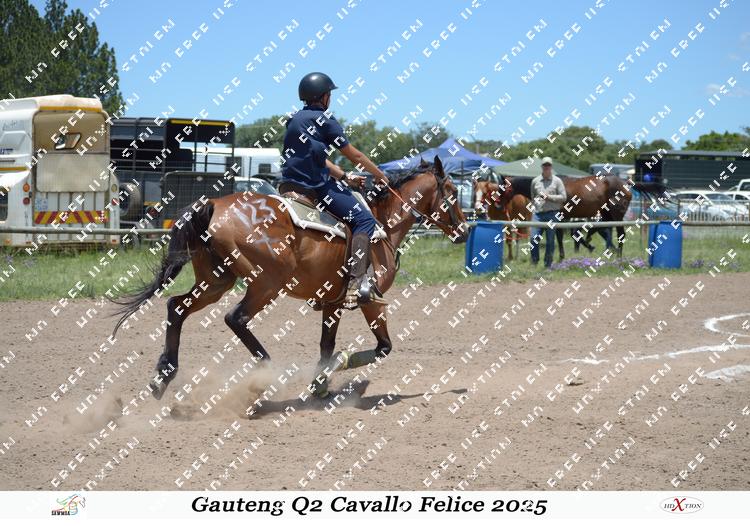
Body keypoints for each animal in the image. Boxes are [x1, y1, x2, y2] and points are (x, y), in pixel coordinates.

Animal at [111, 156, 469, 401]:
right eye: (452, 191)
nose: (465, 230)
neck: (381, 223)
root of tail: (213, 203)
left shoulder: (333, 302)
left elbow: (327, 344)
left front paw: (320, 384)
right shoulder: (371, 301)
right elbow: (383, 347)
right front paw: (336, 368)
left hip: (216, 282)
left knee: (177, 307)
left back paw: (163, 376)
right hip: (267, 283)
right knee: (235, 318)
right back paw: (266, 373)